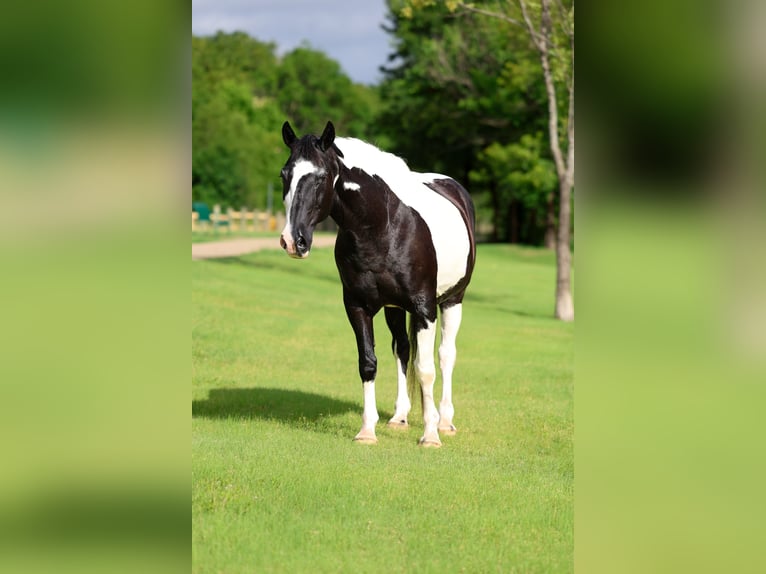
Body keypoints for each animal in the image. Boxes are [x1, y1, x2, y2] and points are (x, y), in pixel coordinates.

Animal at [279, 121, 476, 447]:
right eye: (284, 175)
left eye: (321, 177)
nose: (293, 241)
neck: (384, 224)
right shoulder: (357, 306)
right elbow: (368, 363)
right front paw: (367, 431)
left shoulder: (424, 308)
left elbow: (426, 369)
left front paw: (430, 435)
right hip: (394, 308)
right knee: (403, 349)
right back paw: (400, 417)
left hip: (452, 300)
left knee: (445, 355)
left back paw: (445, 421)